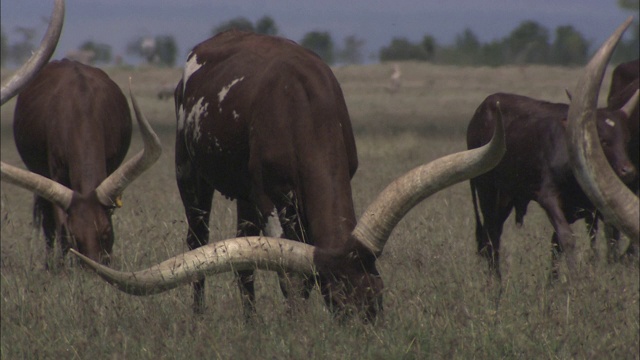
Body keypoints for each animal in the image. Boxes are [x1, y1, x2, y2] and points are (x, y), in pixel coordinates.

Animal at [71, 28, 510, 320]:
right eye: (339, 303)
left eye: (377, 298)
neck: (304, 106)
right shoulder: (271, 196)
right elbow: (291, 276)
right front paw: (295, 325)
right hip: (190, 174)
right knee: (198, 238)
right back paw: (198, 317)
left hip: (244, 193)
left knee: (242, 258)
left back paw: (251, 323)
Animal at [468, 88, 636, 278]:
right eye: (602, 140)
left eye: (626, 140)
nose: (627, 170)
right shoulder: (549, 198)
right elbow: (567, 238)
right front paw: (575, 278)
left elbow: (561, 244)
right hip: (487, 193)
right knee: (491, 236)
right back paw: (495, 281)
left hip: (506, 199)